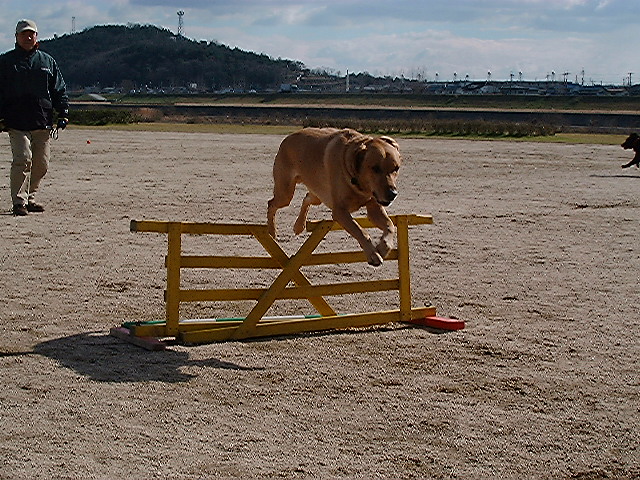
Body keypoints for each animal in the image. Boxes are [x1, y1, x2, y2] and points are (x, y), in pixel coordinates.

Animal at [264, 127, 400, 266]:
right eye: (375, 168)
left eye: (396, 168)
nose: (392, 194)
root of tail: (287, 137)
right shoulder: (339, 211)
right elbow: (360, 230)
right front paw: (373, 254)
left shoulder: (374, 207)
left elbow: (389, 225)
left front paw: (383, 248)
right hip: (285, 193)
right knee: (271, 203)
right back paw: (272, 231)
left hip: (318, 194)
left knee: (306, 198)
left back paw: (299, 226)